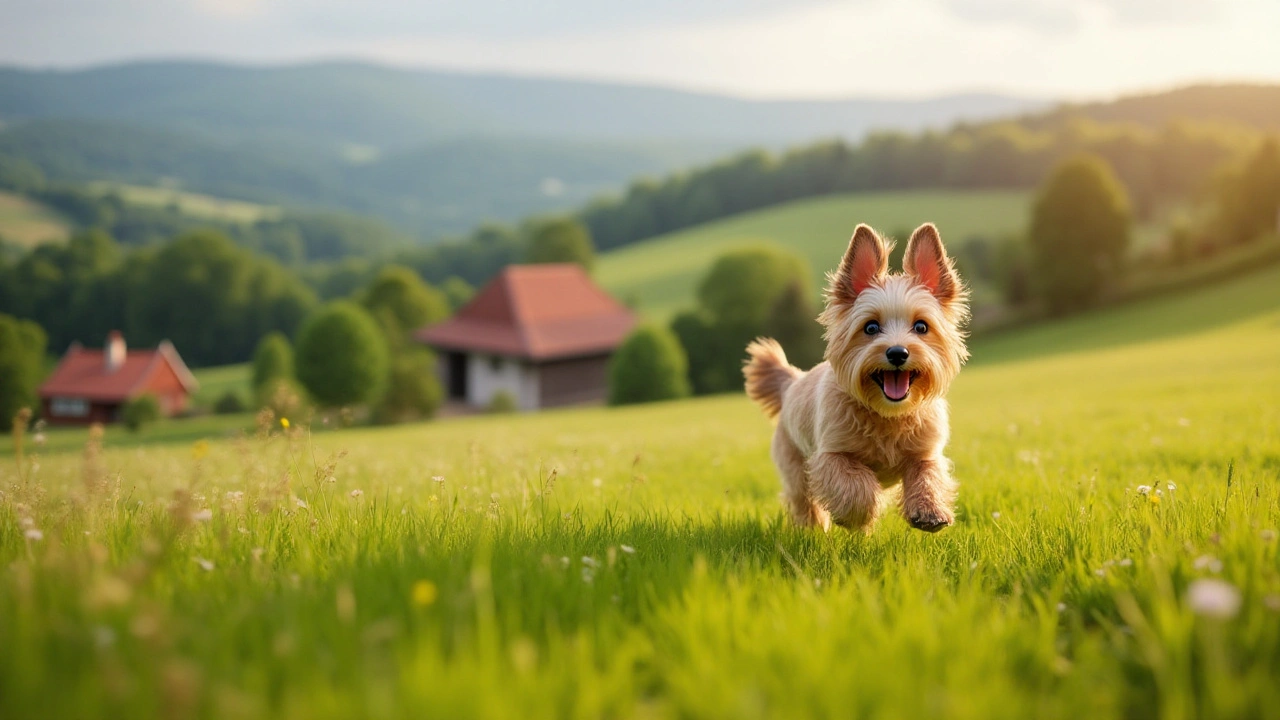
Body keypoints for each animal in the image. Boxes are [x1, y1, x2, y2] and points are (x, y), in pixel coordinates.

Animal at [747, 224, 962, 532]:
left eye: (921, 326)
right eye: (870, 327)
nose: (898, 352)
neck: (888, 415)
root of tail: (792, 381)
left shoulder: (926, 452)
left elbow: (928, 476)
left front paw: (930, 510)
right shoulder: (831, 456)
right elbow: (856, 485)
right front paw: (856, 516)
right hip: (794, 466)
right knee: (803, 502)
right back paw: (813, 529)